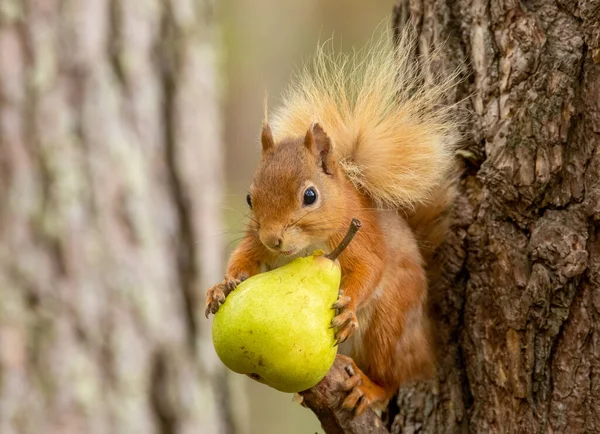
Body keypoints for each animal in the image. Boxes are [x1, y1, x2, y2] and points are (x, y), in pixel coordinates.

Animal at [204, 26, 462, 414]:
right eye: (250, 198)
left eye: (310, 196)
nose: (274, 239)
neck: (305, 249)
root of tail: (425, 342)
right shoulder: (254, 239)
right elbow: (244, 257)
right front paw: (222, 286)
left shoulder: (360, 237)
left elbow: (371, 267)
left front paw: (349, 308)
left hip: (390, 325)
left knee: (394, 377)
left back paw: (368, 388)